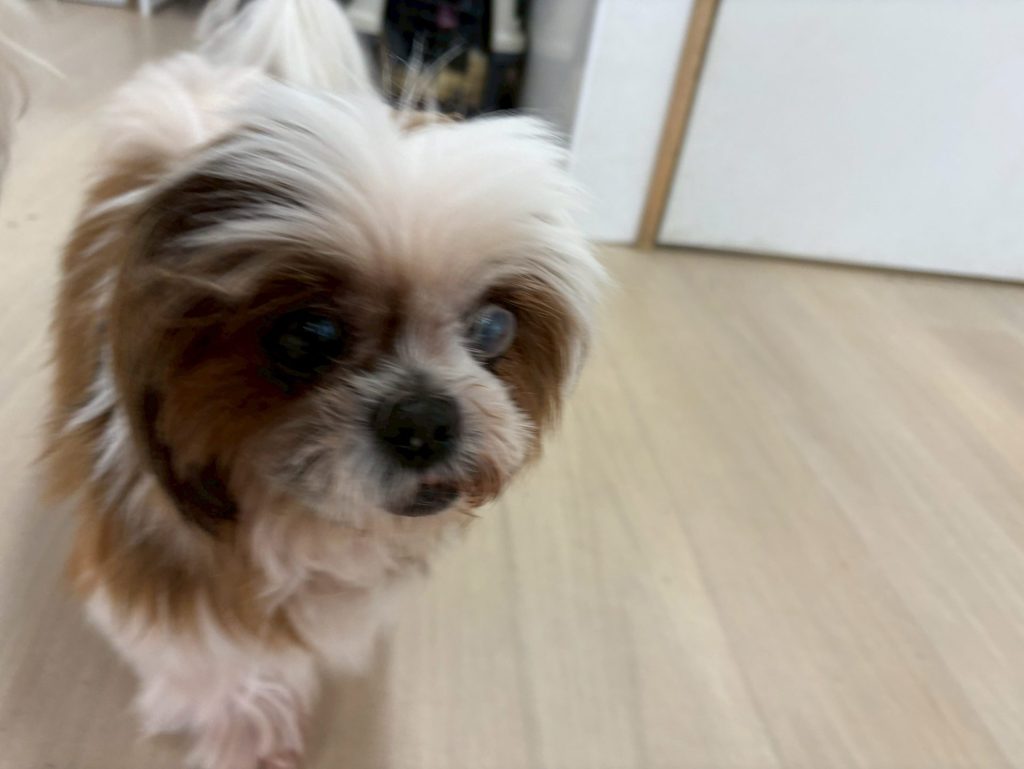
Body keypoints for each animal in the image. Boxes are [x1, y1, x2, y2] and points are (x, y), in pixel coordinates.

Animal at [46, 1, 602, 767]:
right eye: (306, 337)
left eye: (494, 327)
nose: (425, 419)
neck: (294, 515)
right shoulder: (151, 559)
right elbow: (203, 658)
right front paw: (244, 724)